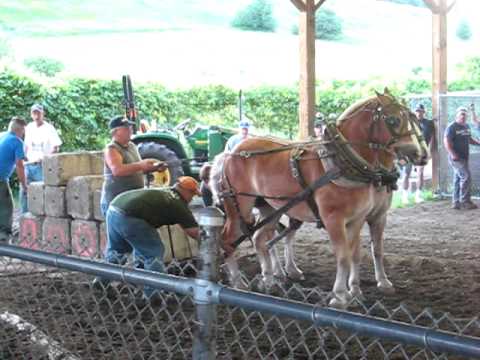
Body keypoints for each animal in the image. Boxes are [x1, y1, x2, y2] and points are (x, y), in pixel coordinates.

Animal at [212, 88, 430, 308]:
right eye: (393, 119)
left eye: (412, 118)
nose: (420, 154)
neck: (343, 161)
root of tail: (231, 152)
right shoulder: (333, 219)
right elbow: (343, 256)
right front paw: (340, 296)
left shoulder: (359, 219)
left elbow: (358, 253)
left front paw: (356, 291)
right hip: (239, 206)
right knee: (228, 239)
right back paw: (239, 283)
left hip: (270, 207)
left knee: (259, 239)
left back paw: (269, 280)